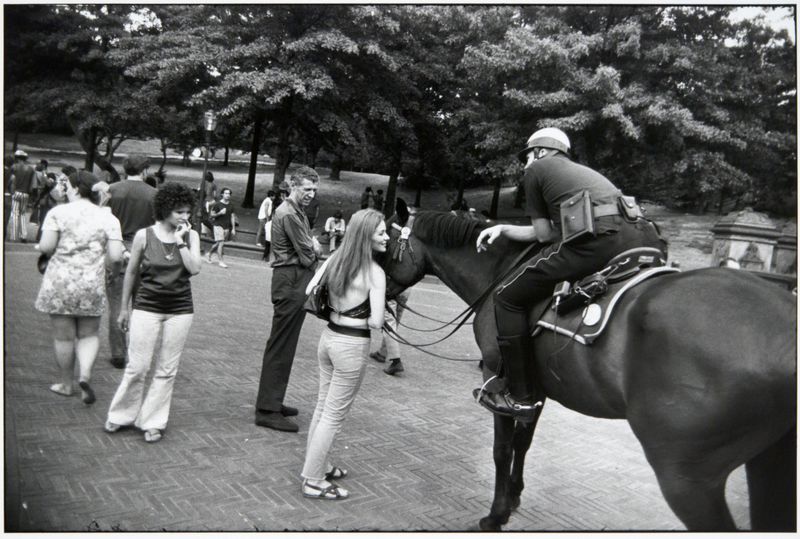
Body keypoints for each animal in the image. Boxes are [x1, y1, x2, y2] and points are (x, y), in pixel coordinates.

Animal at [384, 204, 796, 532]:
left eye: (384, 248)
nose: (380, 300)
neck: (502, 272)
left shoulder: (497, 377)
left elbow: (501, 449)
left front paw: (496, 514)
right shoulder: (532, 390)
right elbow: (522, 443)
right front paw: (514, 497)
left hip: (687, 477)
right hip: (766, 465)